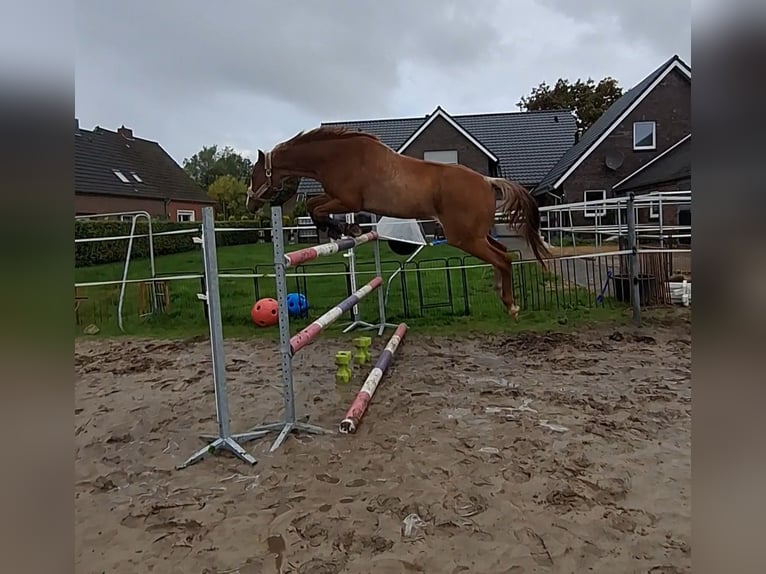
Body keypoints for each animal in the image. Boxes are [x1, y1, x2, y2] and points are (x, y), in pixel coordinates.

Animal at [245, 126, 551, 320]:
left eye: (254, 173)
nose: (250, 204)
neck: (336, 156)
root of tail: (487, 181)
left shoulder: (347, 200)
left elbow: (316, 208)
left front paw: (339, 228)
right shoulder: (339, 199)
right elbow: (313, 205)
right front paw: (345, 229)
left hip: (464, 238)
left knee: (503, 259)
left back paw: (511, 305)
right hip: (477, 235)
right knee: (503, 253)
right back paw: (504, 297)